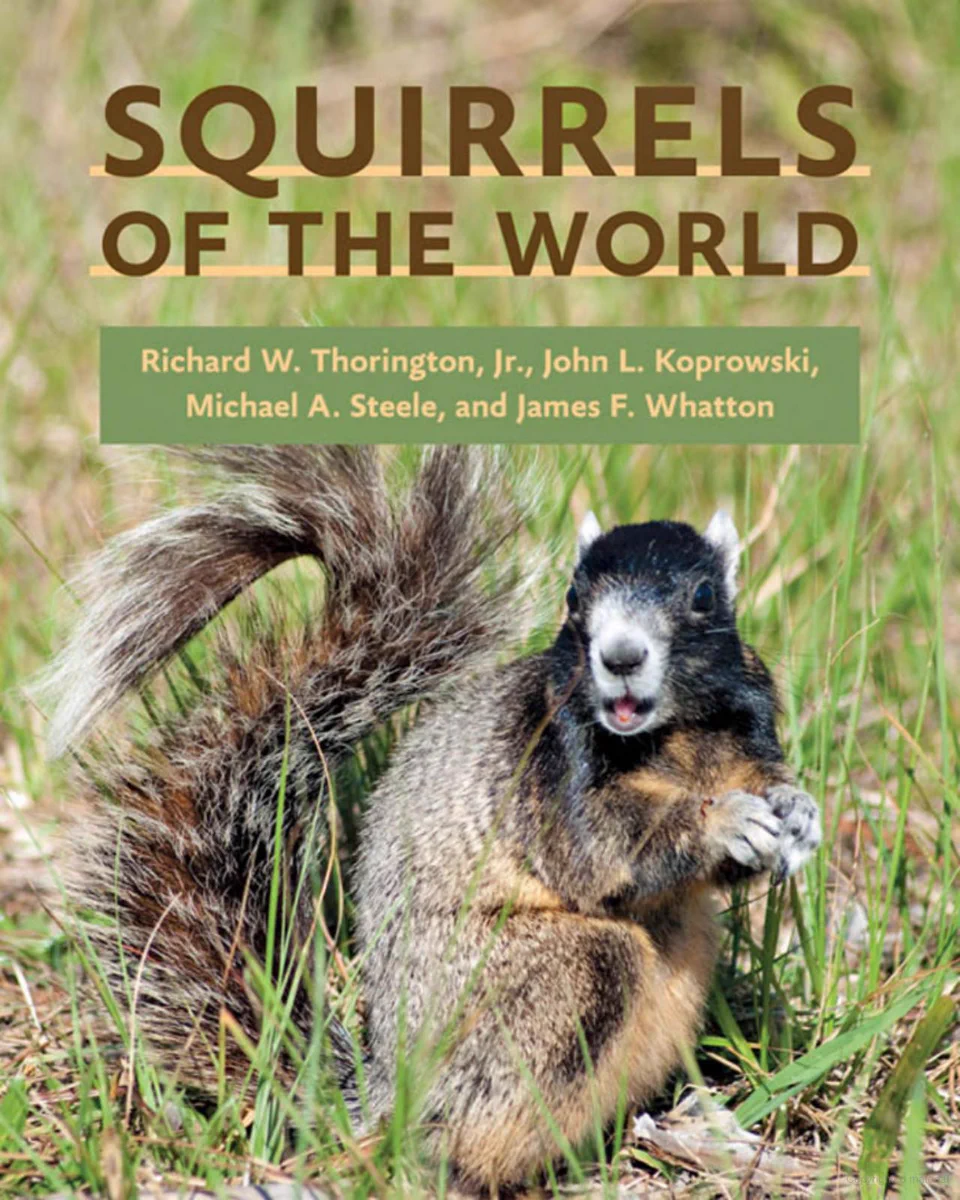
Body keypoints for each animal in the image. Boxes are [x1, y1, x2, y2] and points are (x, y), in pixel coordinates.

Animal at [45, 445, 821, 1194]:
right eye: (574, 598)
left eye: (702, 596)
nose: (620, 656)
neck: (676, 736)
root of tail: (391, 1092)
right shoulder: (551, 767)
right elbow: (599, 851)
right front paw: (721, 820)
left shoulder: (748, 727)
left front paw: (798, 815)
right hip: (551, 984)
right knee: (469, 1126)